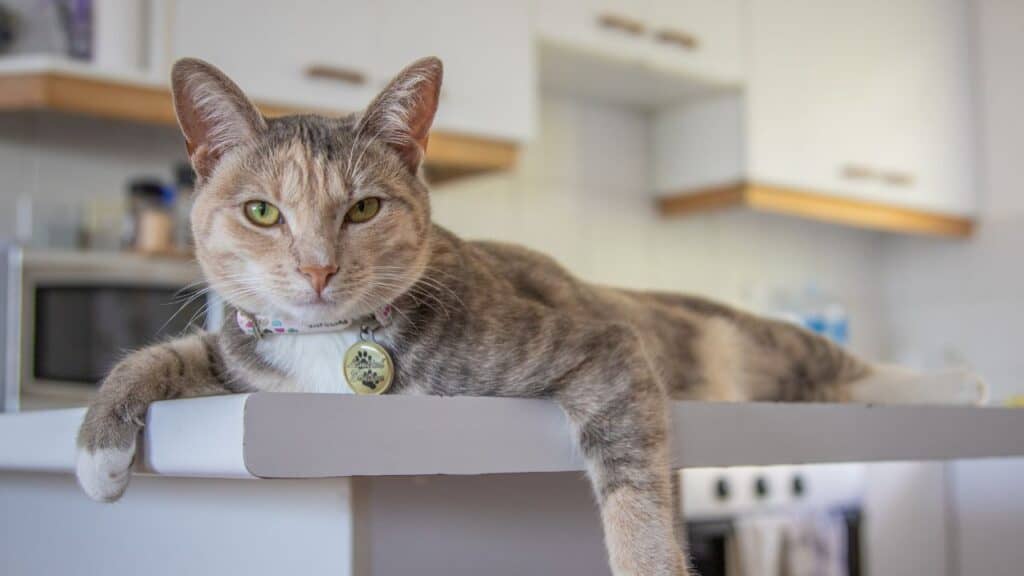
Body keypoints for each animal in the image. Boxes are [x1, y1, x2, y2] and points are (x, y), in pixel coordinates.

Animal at [72, 54, 983, 573]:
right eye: (262, 212)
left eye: (363, 208)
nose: (318, 268)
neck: (334, 349)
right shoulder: (243, 357)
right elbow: (162, 356)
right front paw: (99, 454)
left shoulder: (601, 344)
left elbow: (633, 489)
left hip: (758, 345)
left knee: (847, 367)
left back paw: (957, 385)